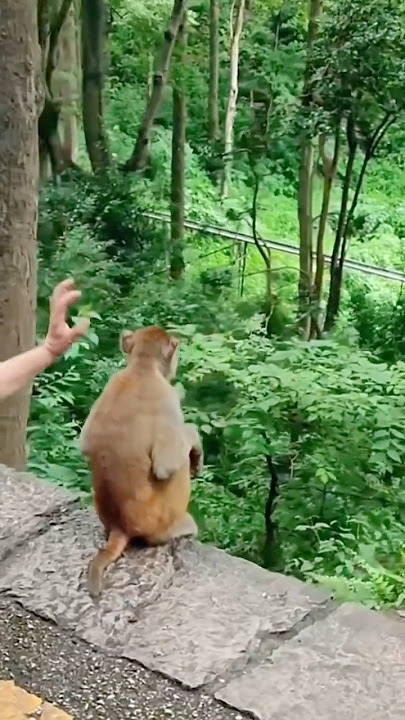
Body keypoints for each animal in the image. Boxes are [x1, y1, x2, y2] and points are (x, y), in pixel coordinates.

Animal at [80, 326, 203, 598]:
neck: (141, 368)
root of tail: (119, 525)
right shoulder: (167, 397)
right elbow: (166, 464)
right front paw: (194, 440)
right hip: (159, 519)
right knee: (176, 471)